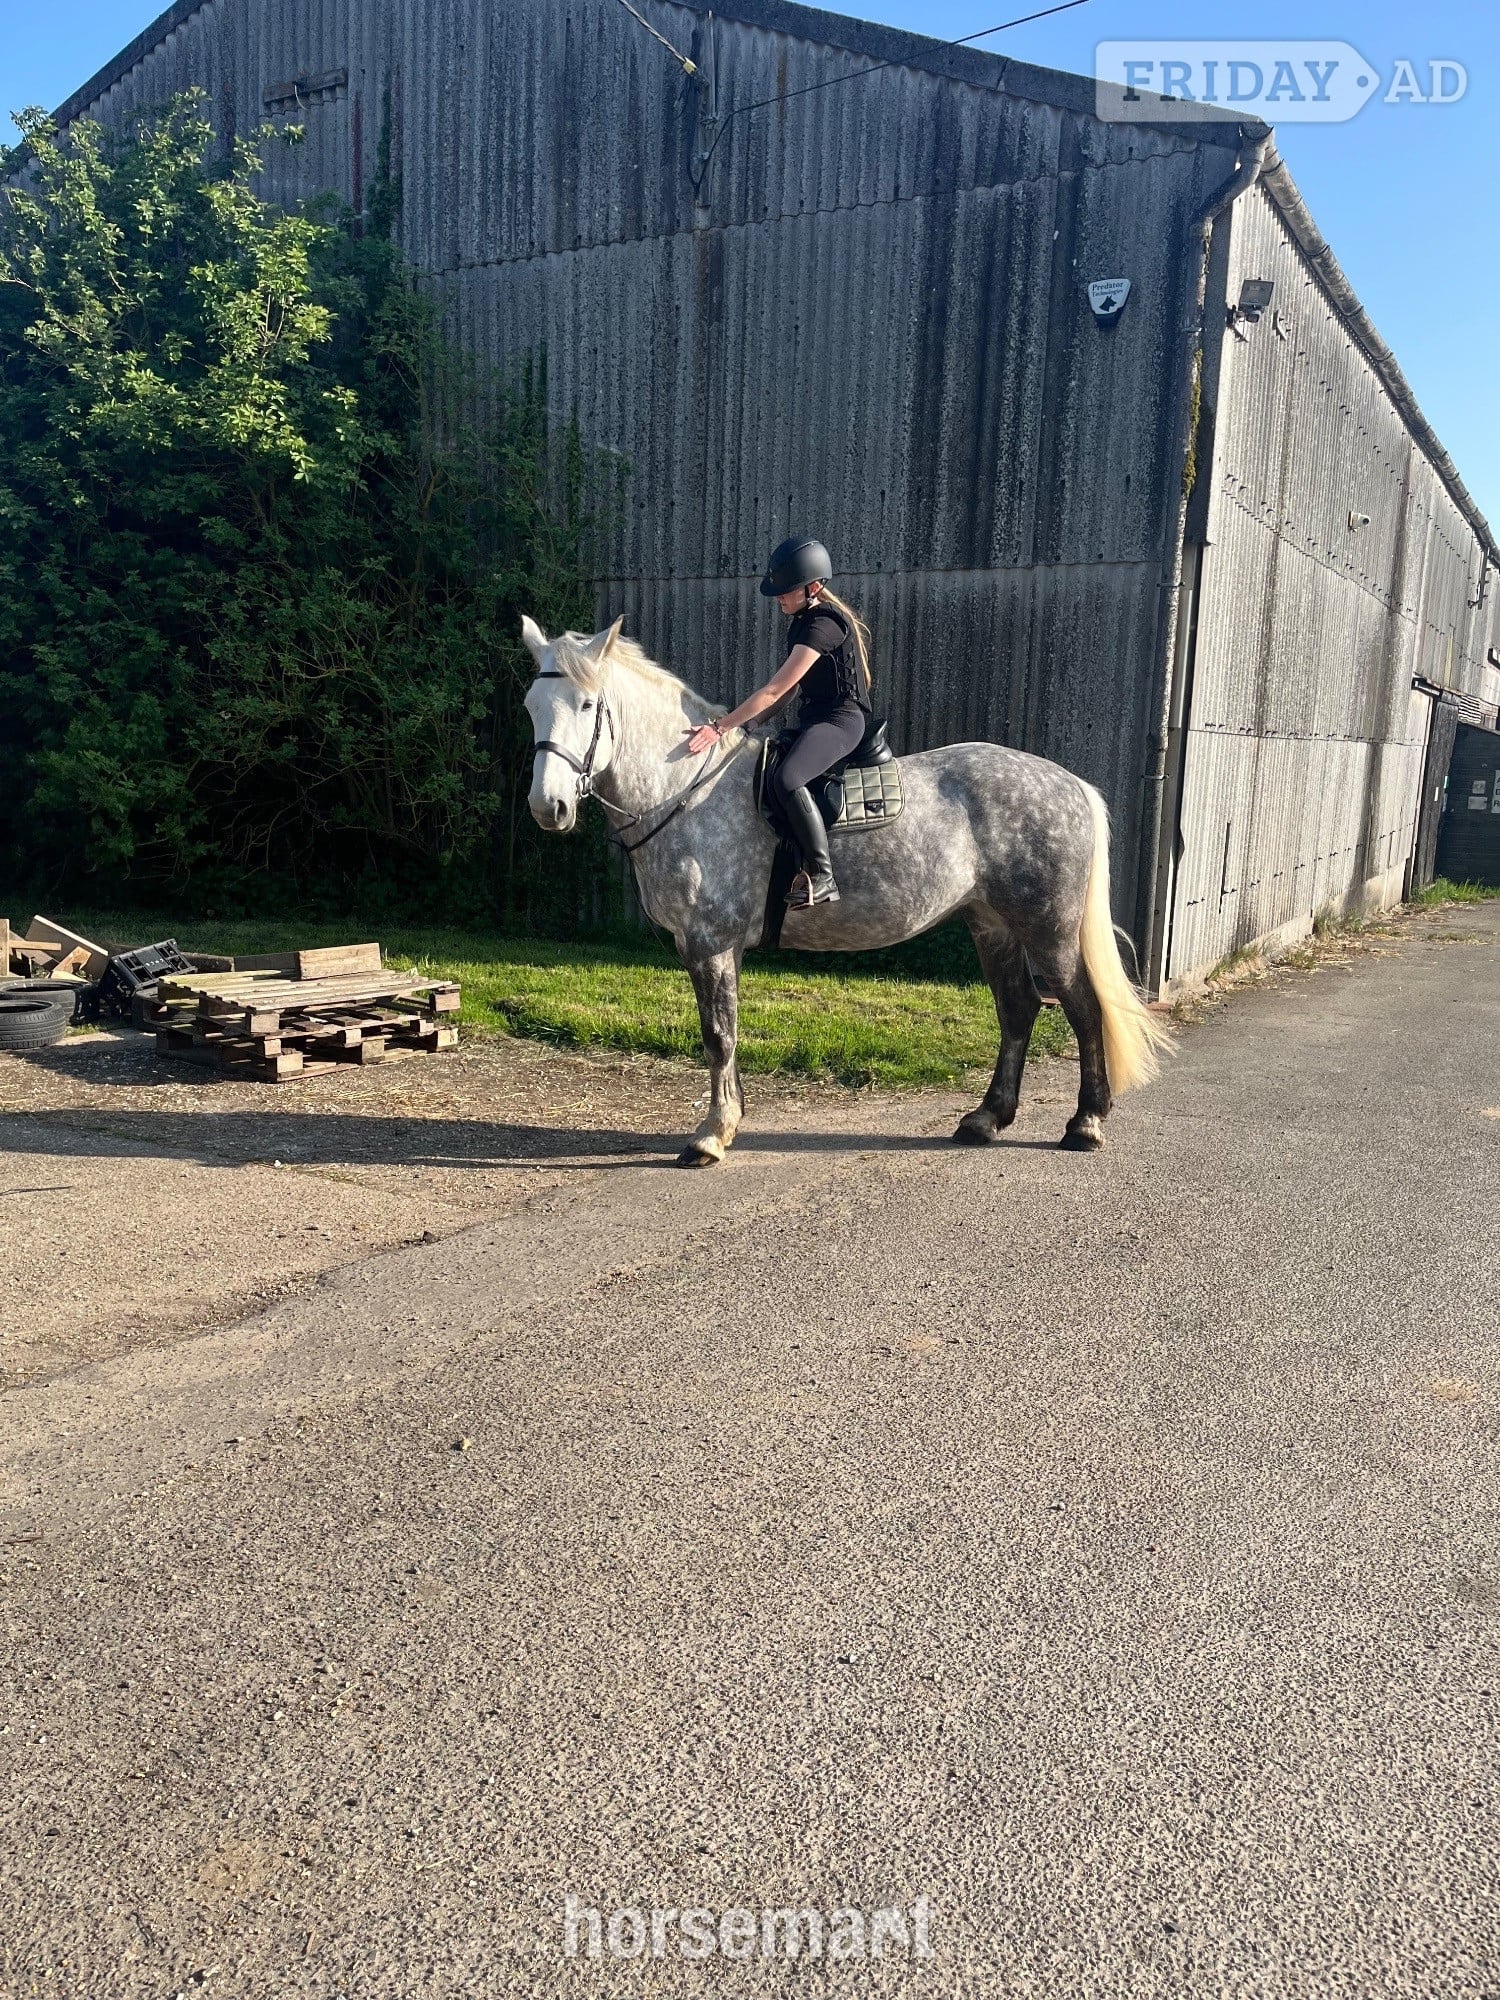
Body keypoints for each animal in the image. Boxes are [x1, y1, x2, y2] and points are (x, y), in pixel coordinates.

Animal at [521, 614, 1171, 1166]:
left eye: (587, 704)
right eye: (531, 706)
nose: (548, 807)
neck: (687, 787)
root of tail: (1070, 784)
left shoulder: (709, 943)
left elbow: (718, 1036)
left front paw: (711, 1135)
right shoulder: (710, 948)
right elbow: (723, 1033)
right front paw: (725, 1123)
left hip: (1047, 926)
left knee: (1082, 1007)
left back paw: (1085, 1123)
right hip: (992, 925)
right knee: (1018, 1008)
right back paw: (986, 1119)